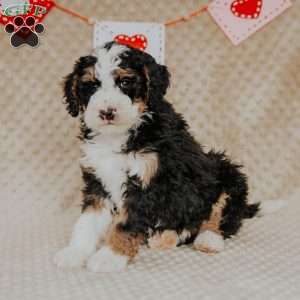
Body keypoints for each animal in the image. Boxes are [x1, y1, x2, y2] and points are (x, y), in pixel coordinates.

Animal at [54, 41, 260, 274]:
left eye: (125, 81)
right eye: (91, 86)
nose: (107, 112)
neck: (118, 135)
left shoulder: (146, 184)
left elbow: (125, 223)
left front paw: (109, 257)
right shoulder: (98, 181)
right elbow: (87, 221)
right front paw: (74, 252)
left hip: (225, 171)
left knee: (220, 217)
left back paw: (208, 239)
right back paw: (166, 236)